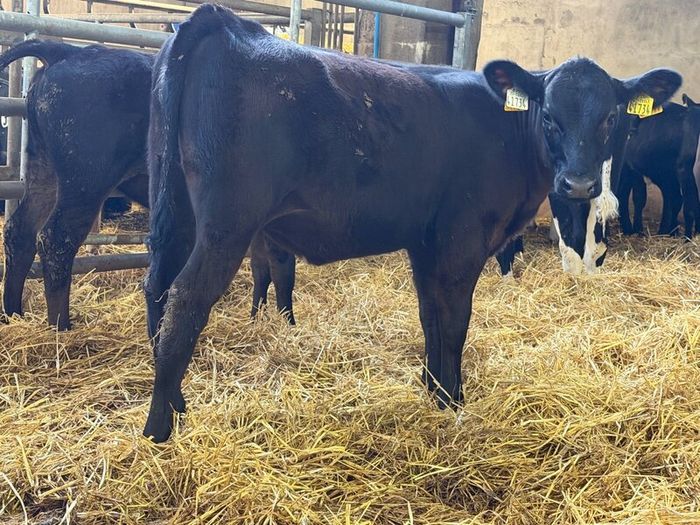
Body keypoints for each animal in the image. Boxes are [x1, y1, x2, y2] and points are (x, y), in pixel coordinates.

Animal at [0, 40, 292, 330]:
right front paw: (287, 321)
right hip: (85, 181)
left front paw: (259, 317)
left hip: (43, 171)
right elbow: (282, 269)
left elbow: (262, 267)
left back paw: (14, 314)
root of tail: (67, 51)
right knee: (57, 239)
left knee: (20, 231)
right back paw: (61, 327)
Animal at [142, 4, 680, 442]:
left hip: (176, 210)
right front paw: (453, 400)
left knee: (159, 289)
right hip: (226, 225)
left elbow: (430, 317)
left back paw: (175, 406)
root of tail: (224, 22)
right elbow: (455, 320)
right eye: (548, 114)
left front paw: (432, 389)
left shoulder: (426, 242)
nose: (579, 184)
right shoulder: (462, 240)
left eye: (610, 117)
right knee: (186, 299)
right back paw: (159, 428)